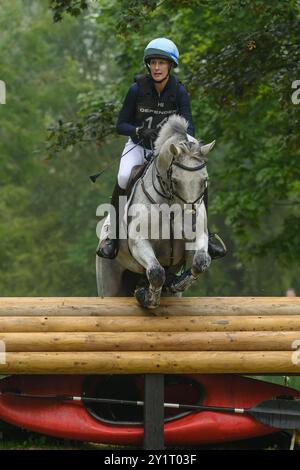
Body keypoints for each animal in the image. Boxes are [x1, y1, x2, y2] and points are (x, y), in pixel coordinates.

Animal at [95, 114, 214, 308]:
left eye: (204, 181)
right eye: (175, 181)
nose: (191, 221)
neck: (170, 205)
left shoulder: (196, 240)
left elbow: (200, 262)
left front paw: (177, 283)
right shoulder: (139, 243)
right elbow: (156, 272)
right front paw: (147, 298)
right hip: (110, 281)